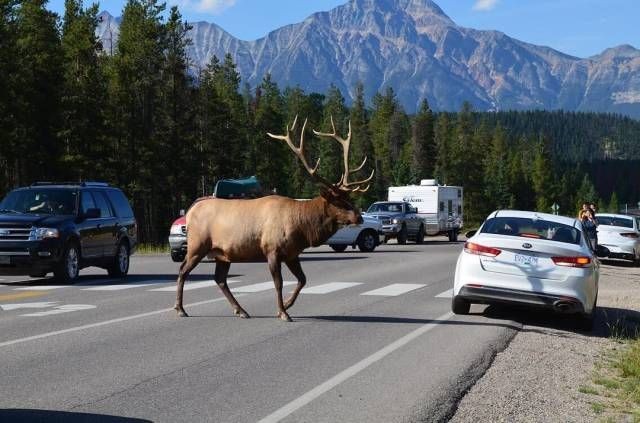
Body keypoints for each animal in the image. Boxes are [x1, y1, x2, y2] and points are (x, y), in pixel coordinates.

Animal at [176, 116, 376, 322]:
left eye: (350, 198)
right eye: (338, 201)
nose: (359, 217)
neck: (303, 228)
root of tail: (190, 212)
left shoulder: (292, 253)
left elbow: (303, 279)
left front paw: (287, 304)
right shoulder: (272, 250)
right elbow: (279, 283)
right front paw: (283, 312)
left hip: (222, 253)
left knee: (220, 279)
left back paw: (241, 310)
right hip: (197, 245)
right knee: (183, 270)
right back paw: (180, 308)